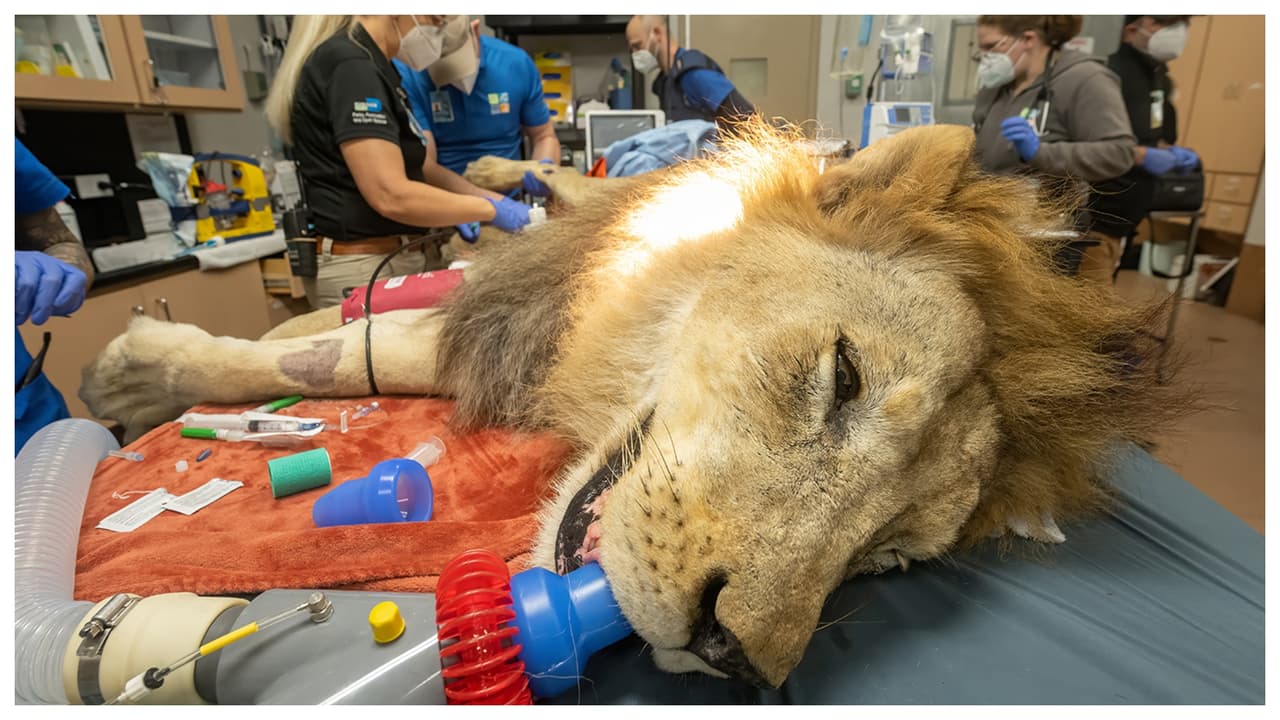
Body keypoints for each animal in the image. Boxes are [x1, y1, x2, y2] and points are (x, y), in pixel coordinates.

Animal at [80, 121, 1180, 688]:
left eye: (888, 557)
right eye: (844, 379)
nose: (733, 658)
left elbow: (347, 355)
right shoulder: (527, 318)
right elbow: (338, 360)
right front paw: (140, 373)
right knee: (552, 179)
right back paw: (497, 174)